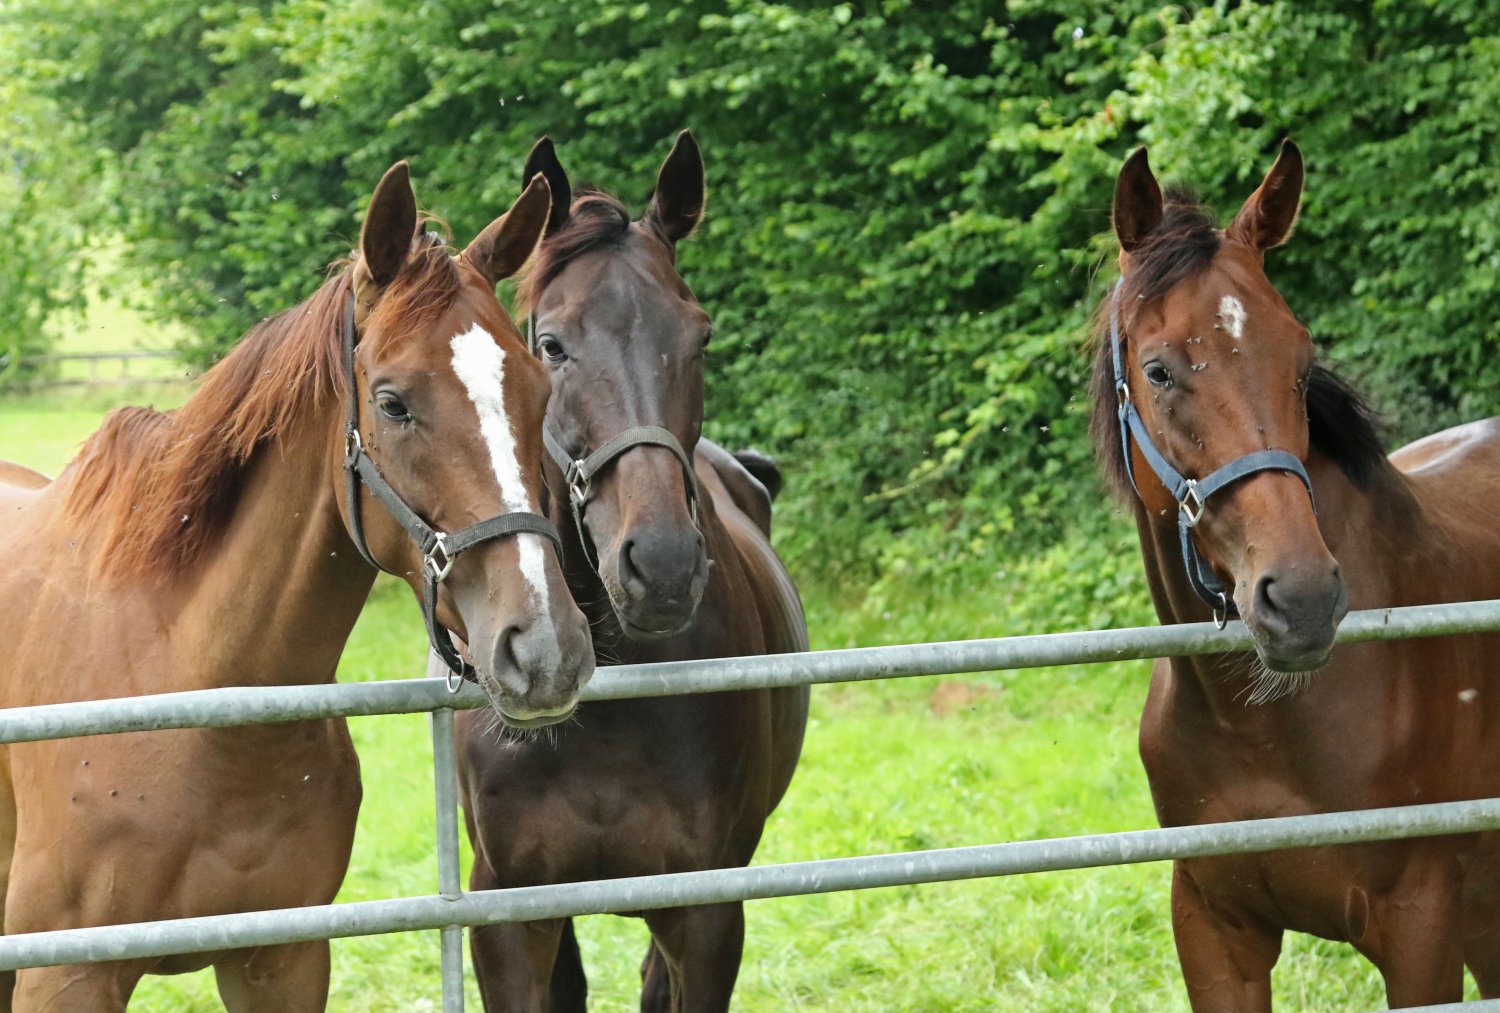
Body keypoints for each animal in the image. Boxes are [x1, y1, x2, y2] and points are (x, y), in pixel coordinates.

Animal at [0, 163, 594, 1011]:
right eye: (392, 402)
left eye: (538, 392)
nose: (545, 648)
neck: (200, 689)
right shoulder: (65, 975)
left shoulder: (280, 958)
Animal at [1094, 140, 1500, 1009]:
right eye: (1159, 370)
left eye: (1302, 358)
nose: (1304, 598)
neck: (1258, 723)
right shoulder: (1214, 928)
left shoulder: (1422, 926)